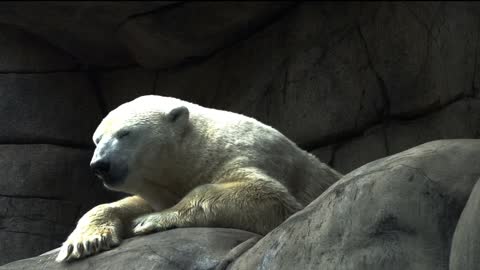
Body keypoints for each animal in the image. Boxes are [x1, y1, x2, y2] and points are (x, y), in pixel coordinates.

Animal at [56, 95, 342, 262]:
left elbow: (268, 197)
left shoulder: (247, 155)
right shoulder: (164, 186)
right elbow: (125, 204)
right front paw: (84, 242)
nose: (100, 165)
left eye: (125, 133)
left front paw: (148, 221)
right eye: (97, 139)